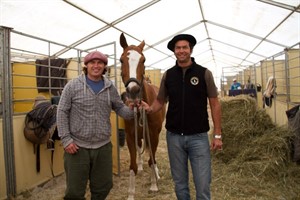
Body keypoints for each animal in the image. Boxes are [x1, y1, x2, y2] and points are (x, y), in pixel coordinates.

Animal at [119, 33, 166, 199]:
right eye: (121, 60)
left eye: (143, 60)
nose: (133, 91)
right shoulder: (129, 136)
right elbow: (132, 166)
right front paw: (131, 194)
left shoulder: (153, 134)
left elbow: (152, 159)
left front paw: (153, 185)